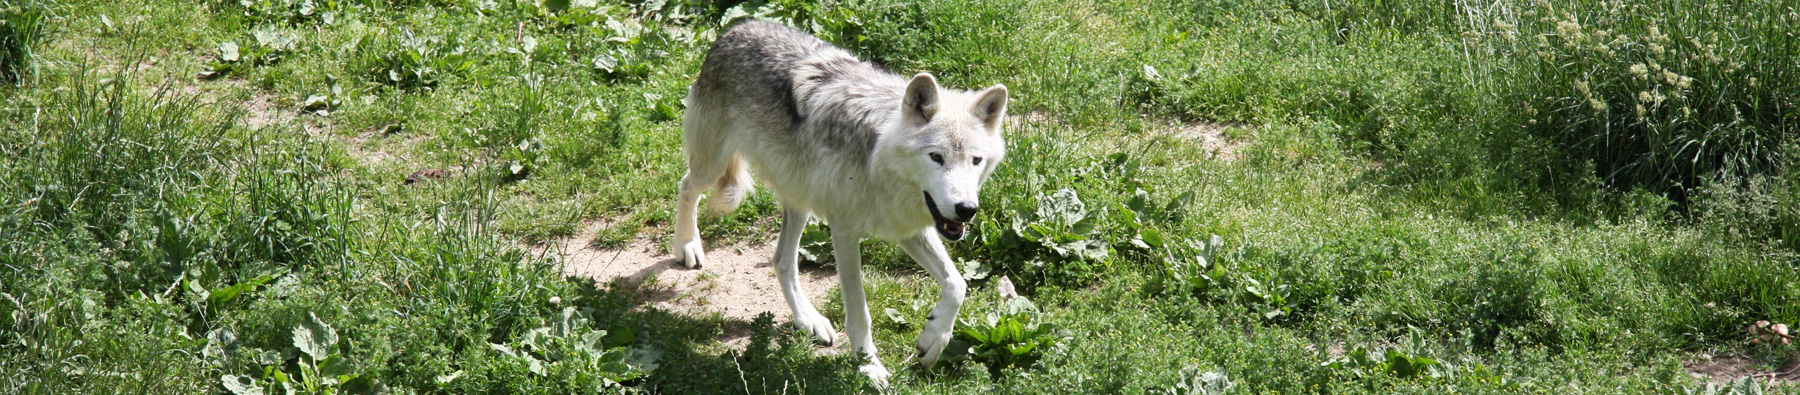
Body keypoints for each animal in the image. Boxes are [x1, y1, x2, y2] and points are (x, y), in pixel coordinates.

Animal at [673, 19, 1008, 382]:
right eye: (936, 157)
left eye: (975, 161)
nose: (967, 210)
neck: (877, 160)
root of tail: (737, 28)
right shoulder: (844, 231)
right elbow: (860, 311)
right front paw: (868, 366)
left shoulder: (907, 229)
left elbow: (957, 284)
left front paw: (933, 341)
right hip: (714, 166)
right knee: (686, 186)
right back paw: (687, 246)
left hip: (799, 197)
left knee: (782, 261)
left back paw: (809, 320)